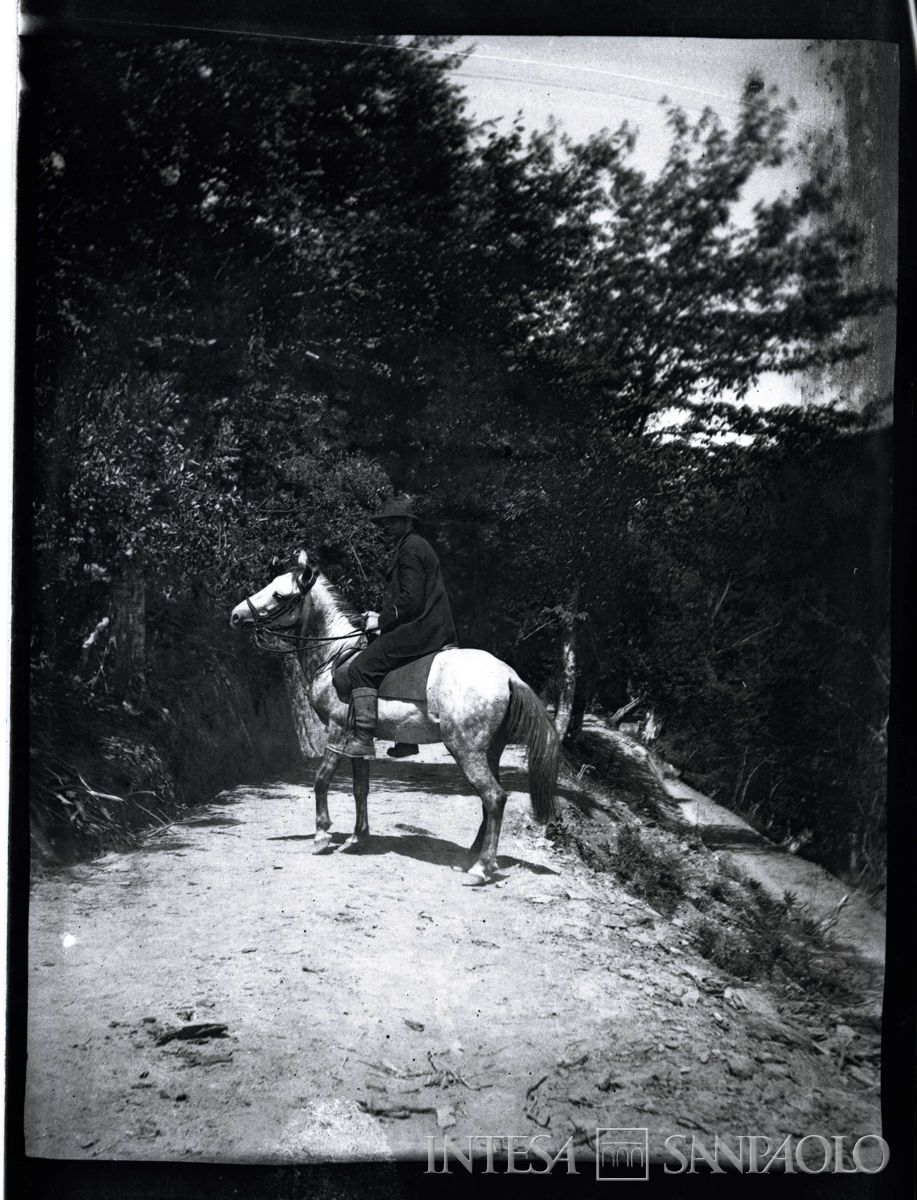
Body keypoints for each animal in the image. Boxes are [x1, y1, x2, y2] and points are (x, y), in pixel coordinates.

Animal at [230, 551, 560, 882]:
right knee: (489, 799)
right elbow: (359, 789)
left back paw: (481, 867)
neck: (335, 653)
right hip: (490, 750)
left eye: (279, 595)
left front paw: (322, 835)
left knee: (494, 797)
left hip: (465, 749)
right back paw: (471, 855)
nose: (235, 615)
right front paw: (357, 838)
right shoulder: (358, 740)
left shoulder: (336, 733)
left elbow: (321, 780)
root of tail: (509, 676)